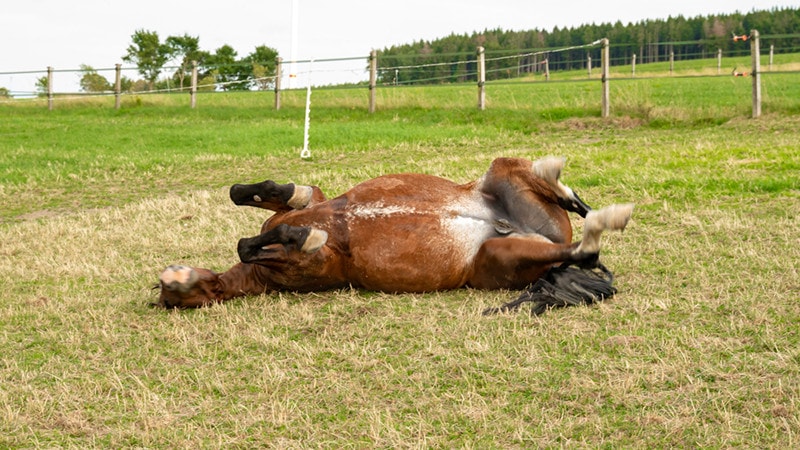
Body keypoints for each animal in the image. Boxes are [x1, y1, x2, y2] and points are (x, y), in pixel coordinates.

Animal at [155, 156, 633, 313]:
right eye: (169, 298)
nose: (168, 278)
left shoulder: (312, 204)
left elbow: (264, 197)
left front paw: (293, 217)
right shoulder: (312, 266)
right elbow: (251, 244)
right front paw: (303, 236)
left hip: (504, 174)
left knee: (567, 201)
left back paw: (588, 199)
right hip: (499, 256)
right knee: (583, 252)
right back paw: (601, 225)